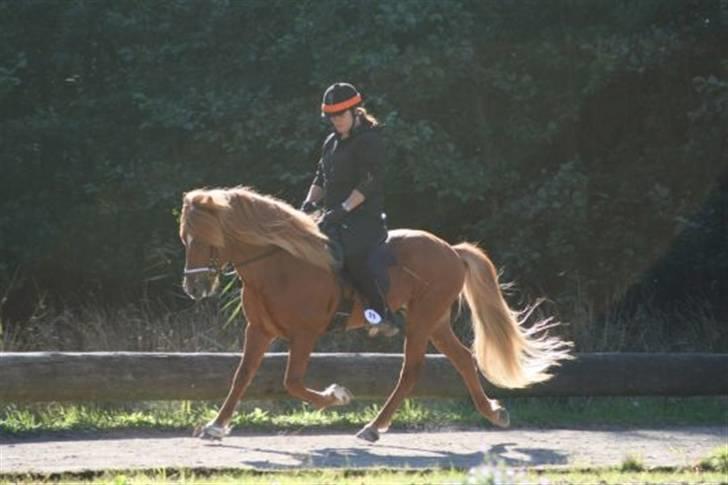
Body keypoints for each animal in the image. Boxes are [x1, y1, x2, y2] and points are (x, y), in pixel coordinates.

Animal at [179, 186, 572, 442]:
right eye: (185, 238)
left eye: (205, 239)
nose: (193, 288)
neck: (279, 264)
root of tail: (451, 250)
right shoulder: (258, 330)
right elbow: (241, 376)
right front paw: (215, 426)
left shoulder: (304, 334)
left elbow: (292, 381)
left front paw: (338, 396)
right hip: (435, 321)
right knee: (462, 358)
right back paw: (493, 412)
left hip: (422, 319)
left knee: (411, 371)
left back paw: (372, 427)